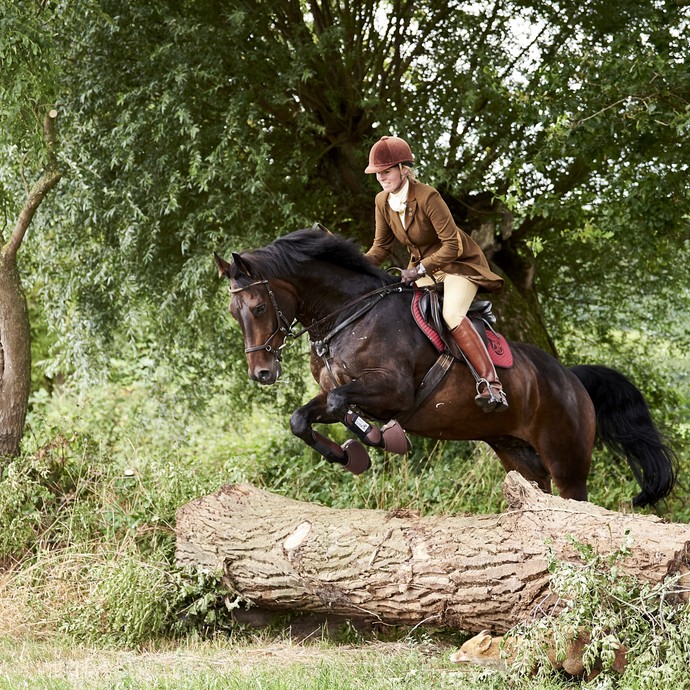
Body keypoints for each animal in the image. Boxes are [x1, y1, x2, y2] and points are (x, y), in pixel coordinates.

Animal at [215, 227, 672, 506]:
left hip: (567, 462)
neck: (349, 314)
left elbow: (343, 403)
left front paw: (377, 437)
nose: (262, 373)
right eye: (233, 312)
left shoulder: (393, 390)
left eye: (258, 307)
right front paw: (347, 455)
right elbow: (304, 417)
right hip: (520, 457)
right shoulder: (332, 390)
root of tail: (571, 379)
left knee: (575, 500)